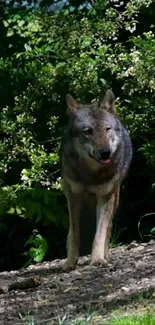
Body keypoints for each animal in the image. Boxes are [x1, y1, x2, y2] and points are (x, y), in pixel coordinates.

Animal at [60, 89, 133, 270]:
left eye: (107, 129)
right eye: (88, 131)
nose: (105, 152)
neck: (90, 175)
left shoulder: (106, 197)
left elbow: (100, 233)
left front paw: (98, 259)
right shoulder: (74, 197)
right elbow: (75, 234)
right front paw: (70, 262)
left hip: (115, 198)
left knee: (108, 228)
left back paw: (105, 256)